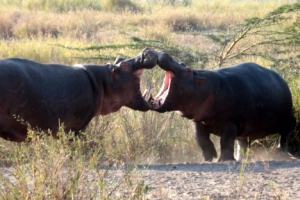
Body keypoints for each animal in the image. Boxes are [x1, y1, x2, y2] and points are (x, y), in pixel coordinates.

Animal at [150, 50, 296, 162]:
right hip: (247, 130)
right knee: (243, 143)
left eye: (188, 71)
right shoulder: (198, 120)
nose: (164, 54)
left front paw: (224, 160)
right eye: (182, 64)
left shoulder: (229, 123)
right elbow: (200, 139)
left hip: (286, 120)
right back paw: (242, 159)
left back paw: (281, 152)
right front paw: (209, 158)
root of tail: (282, 79)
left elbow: (226, 141)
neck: (203, 86)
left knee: (286, 133)